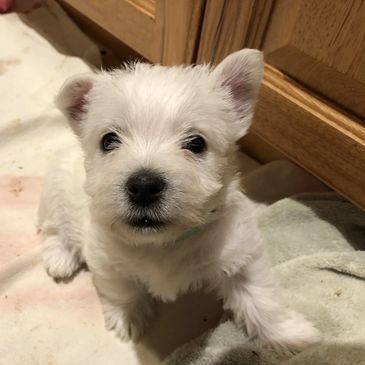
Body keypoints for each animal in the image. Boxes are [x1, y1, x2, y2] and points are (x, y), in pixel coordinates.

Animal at [38, 49, 320, 350]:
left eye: (196, 143)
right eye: (109, 140)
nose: (144, 186)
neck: (162, 243)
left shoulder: (241, 256)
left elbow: (260, 297)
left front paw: (295, 336)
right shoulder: (105, 260)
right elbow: (122, 290)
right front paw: (127, 319)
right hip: (55, 194)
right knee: (55, 230)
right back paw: (60, 258)